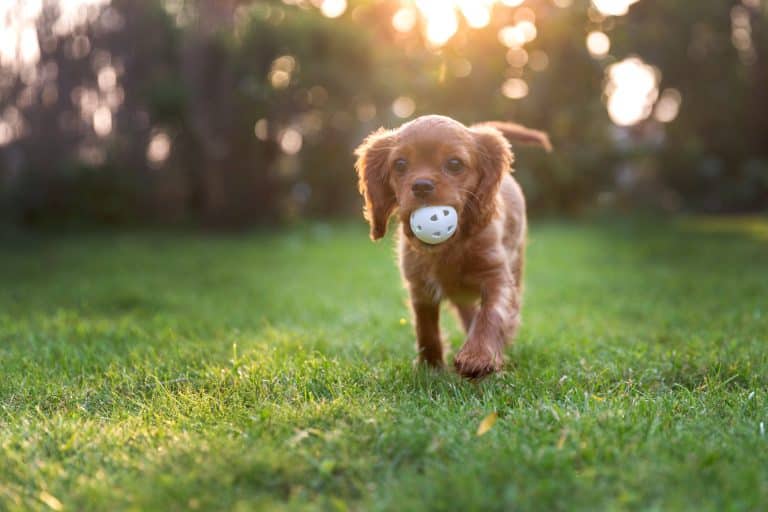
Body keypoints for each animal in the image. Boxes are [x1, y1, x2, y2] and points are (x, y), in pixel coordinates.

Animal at [354, 117, 552, 380]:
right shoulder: (420, 287)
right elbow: (426, 328)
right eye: (400, 164)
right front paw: (430, 367)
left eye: (455, 164)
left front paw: (478, 357)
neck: (450, 247)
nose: (422, 186)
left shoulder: (497, 276)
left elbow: (492, 314)